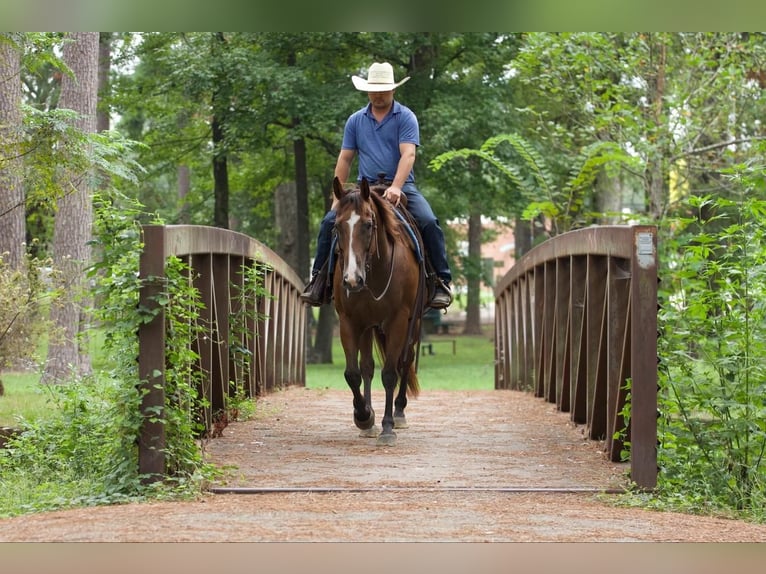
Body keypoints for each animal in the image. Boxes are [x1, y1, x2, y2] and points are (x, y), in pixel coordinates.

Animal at [330, 178, 426, 448]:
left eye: (368, 224)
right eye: (336, 226)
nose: (352, 280)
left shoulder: (397, 322)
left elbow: (390, 374)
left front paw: (387, 427)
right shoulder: (349, 322)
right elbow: (353, 373)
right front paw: (364, 416)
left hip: (413, 323)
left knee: (406, 360)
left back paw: (400, 411)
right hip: (368, 327)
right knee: (367, 367)